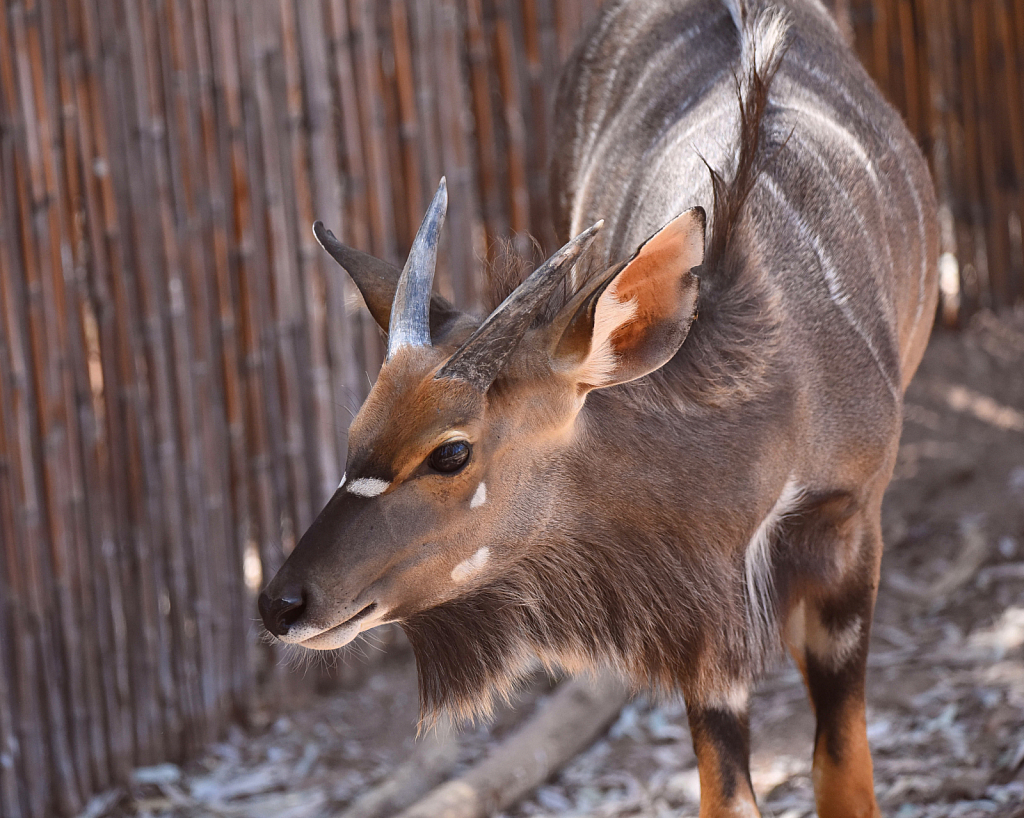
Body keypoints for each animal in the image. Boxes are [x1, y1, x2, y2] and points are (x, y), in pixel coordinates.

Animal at [260, 1, 937, 810]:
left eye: (450, 451)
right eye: (357, 429)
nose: (281, 605)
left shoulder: (850, 526)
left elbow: (844, 777)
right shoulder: (701, 625)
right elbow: (728, 794)